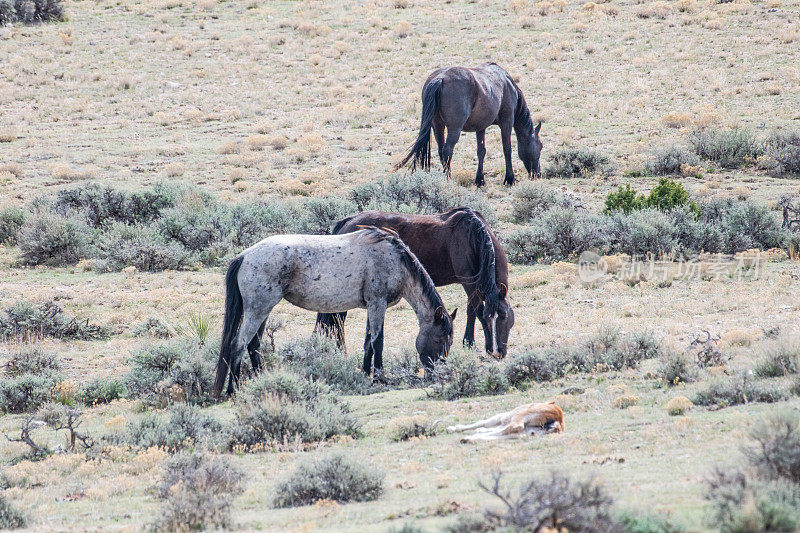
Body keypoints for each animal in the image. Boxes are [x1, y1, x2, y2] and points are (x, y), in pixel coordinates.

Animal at [211, 224, 456, 394]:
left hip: (262, 311)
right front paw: (379, 377)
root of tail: (245, 256)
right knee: (238, 344)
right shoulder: (378, 303)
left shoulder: (372, 306)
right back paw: (233, 390)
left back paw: (261, 380)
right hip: (258, 310)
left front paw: (365, 373)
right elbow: (378, 341)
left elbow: (368, 343)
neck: (395, 259)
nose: (438, 373)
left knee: (254, 345)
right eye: (439, 339)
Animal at [312, 206, 512, 360]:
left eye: (505, 318)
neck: (473, 236)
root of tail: (347, 222)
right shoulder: (468, 281)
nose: (497, 352)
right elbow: (475, 310)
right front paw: (470, 343)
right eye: (489, 319)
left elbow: (472, 310)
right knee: (336, 318)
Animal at [398, 62, 544, 186]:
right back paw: (448, 179)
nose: (538, 174)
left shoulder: (481, 127)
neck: (507, 84)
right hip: (454, 129)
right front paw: (510, 179)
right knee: (447, 150)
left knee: (441, 150)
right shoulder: (506, 122)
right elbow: (507, 149)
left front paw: (480, 180)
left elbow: (481, 151)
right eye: (541, 146)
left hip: (437, 126)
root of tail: (440, 79)